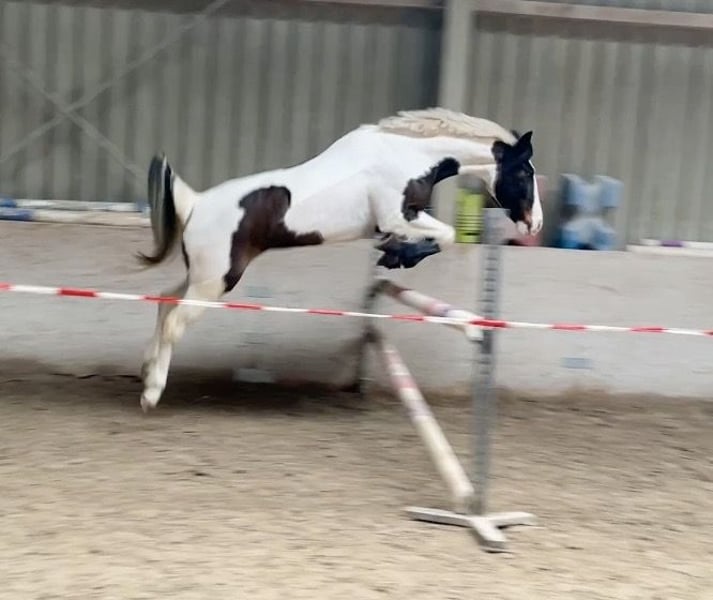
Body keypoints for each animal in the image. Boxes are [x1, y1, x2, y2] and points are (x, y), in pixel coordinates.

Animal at [137, 107, 542, 412]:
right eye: (524, 172)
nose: (534, 224)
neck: (407, 156)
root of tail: (195, 203)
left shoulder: (393, 222)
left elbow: (436, 237)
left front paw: (395, 255)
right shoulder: (396, 217)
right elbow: (445, 234)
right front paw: (400, 255)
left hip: (200, 276)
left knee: (164, 302)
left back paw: (146, 369)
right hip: (215, 281)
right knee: (173, 323)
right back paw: (151, 393)